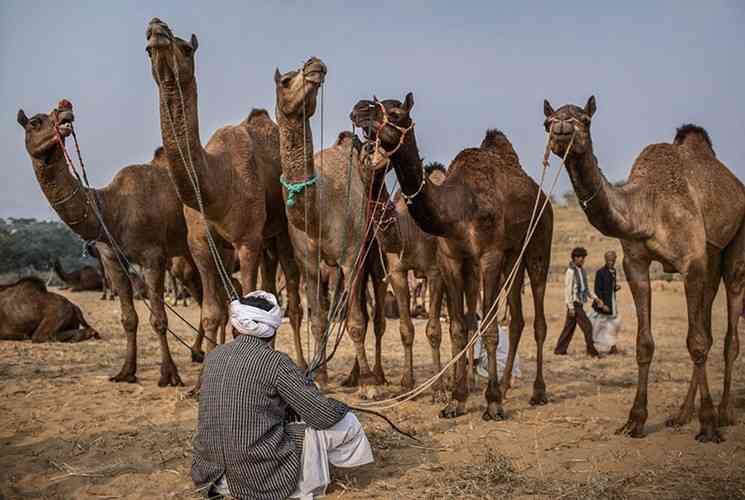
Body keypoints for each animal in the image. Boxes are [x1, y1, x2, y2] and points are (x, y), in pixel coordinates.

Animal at [17, 102, 203, 386]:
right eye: (34, 122)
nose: (64, 110)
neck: (111, 208)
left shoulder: (152, 256)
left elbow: (158, 318)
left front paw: (169, 375)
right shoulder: (112, 258)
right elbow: (129, 318)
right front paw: (126, 372)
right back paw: (200, 351)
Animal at [145, 18, 306, 368]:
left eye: (186, 48)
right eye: (147, 47)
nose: (156, 27)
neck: (217, 185)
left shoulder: (246, 241)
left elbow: (242, 310)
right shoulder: (200, 246)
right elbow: (212, 313)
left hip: (281, 234)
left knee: (293, 295)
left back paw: (305, 364)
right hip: (266, 239)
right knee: (271, 286)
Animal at [274, 59, 390, 394]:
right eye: (285, 81)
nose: (314, 64)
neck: (318, 212)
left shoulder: (351, 257)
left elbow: (356, 322)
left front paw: (369, 385)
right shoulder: (309, 264)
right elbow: (318, 320)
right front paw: (321, 377)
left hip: (373, 256)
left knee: (375, 315)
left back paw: (375, 374)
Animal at [354, 93, 552, 418]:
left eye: (395, 113)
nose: (358, 110)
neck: (456, 208)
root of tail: (542, 195)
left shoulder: (488, 256)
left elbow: (488, 328)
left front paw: (491, 403)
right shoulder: (451, 260)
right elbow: (457, 327)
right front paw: (456, 400)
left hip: (538, 245)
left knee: (538, 319)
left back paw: (537, 392)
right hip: (513, 258)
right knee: (516, 320)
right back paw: (505, 386)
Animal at [540, 96, 744, 442]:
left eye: (585, 119)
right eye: (547, 122)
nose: (562, 129)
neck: (648, 208)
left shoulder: (691, 262)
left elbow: (696, 343)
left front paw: (707, 425)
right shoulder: (634, 264)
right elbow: (646, 343)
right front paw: (635, 421)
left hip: (734, 247)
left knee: (729, 330)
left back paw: (725, 413)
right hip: (712, 259)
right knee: (708, 328)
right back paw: (682, 414)